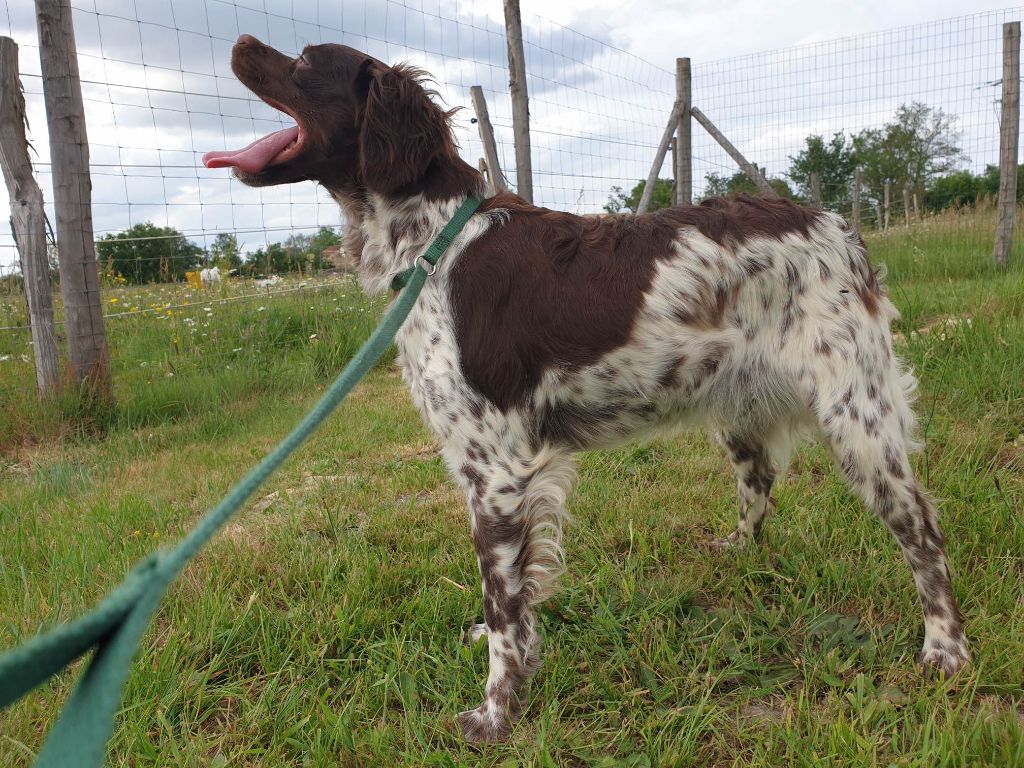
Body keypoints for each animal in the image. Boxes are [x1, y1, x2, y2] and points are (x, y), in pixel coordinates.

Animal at [201, 37, 966, 745]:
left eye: (303, 60)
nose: (237, 43)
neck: (434, 242)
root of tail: (838, 226)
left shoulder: (496, 470)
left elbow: (505, 602)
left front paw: (495, 713)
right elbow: (513, 600)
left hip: (858, 420)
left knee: (923, 532)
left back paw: (945, 649)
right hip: (741, 411)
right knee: (761, 488)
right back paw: (737, 552)